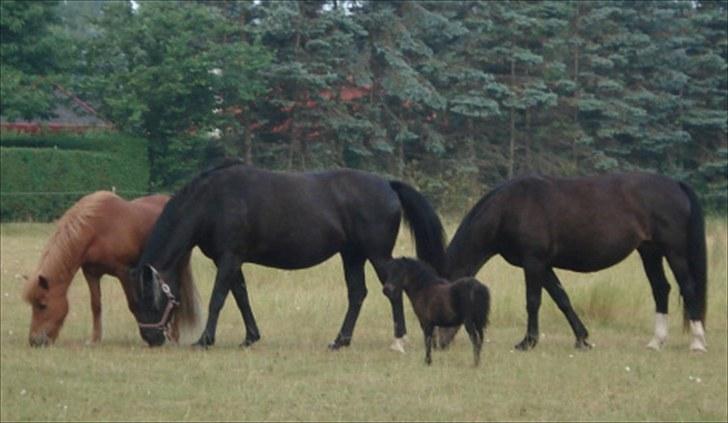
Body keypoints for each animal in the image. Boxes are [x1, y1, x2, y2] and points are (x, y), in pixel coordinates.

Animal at [133, 160, 446, 352]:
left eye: (148, 300)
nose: (151, 338)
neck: (213, 202)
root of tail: (388, 184)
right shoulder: (231, 261)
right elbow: (241, 296)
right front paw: (250, 337)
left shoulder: (229, 257)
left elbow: (218, 298)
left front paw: (205, 340)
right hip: (352, 255)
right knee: (357, 293)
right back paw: (340, 341)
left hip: (376, 255)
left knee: (392, 290)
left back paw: (398, 340)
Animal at [438, 172, 704, 354]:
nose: (439, 343)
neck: (509, 208)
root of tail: (675, 184)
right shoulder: (543, 266)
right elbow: (562, 299)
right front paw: (582, 339)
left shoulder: (533, 262)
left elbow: (533, 302)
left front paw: (527, 342)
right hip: (650, 251)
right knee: (661, 289)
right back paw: (656, 342)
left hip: (674, 252)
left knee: (689, 288)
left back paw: (698, 342)